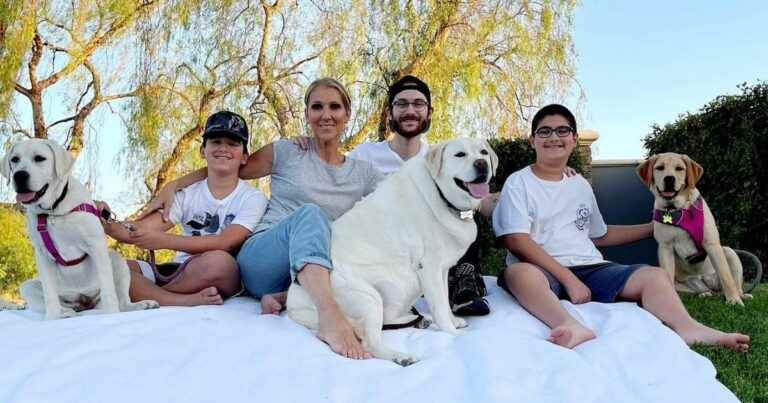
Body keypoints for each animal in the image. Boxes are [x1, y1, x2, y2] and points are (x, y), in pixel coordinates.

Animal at [0, 139, 159, 318]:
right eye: (14, 160)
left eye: (39, 158)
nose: (19, 175)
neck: (54, 210)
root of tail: (83, 301)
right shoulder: (42, 255)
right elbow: (49, 293)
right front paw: (52, 318)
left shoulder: (95, 245)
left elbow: (108, 288)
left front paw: (111, 314)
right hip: (28, 287)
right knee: (60, 304)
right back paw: (66, 312)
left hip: (117, 261)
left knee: (121, 302)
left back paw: (140, 305)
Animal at [288, 138, 498, 366]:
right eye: (460, 154)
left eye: (483, 152)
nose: (481, 164)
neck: (441, 195)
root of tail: (293, 301)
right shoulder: (429, 268)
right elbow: (440, 306)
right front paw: (452, 332)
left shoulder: (441, 269)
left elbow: (443, 300)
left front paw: (453, 321)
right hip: (369, 298)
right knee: (369, 342)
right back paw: (401, 355)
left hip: (400, 289)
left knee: (386, 321)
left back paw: (418, 320)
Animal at [636, 154, 752, 306]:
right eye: (660, 168)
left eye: (679, 168)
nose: (669, 179)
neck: (678, 210)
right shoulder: (665, 247)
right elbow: (667, 275)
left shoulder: (711, 244)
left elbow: (726, 276)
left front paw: (733, 300)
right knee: (702, 290)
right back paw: (704, 294)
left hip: (729, 252)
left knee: (734, 283)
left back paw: (741, 295)